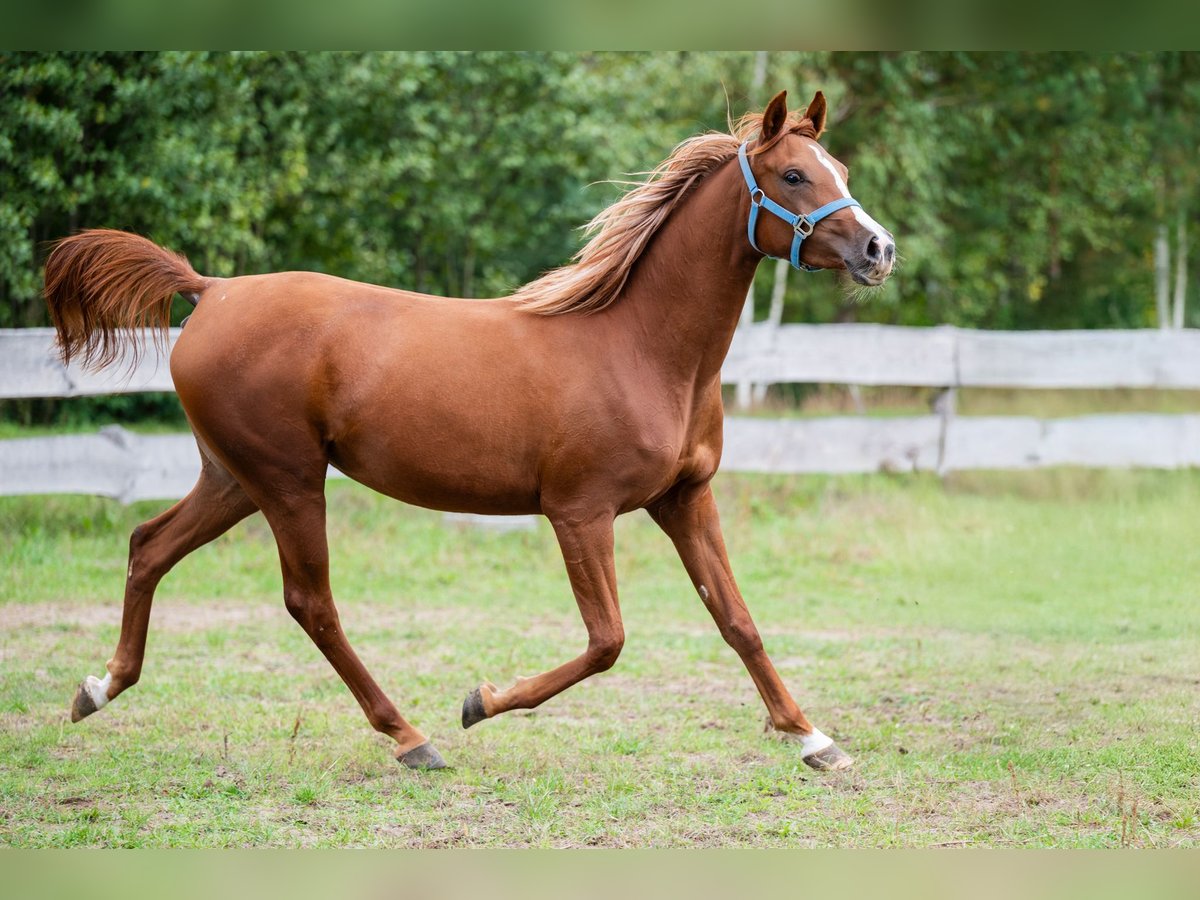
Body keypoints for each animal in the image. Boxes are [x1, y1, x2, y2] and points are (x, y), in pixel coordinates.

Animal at [44, 88, 892, 772]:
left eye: (841, 166)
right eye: (793, 175)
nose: (878, 249)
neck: (641, 347)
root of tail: (211, 291)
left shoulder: (684, 499)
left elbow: (737, 620)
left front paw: (814, 739)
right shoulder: (579, 513)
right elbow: (607, 640)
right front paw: (480, 701)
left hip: (234, 479)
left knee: (148, 546)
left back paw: (98, 688)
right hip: (287, 482)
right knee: (310, 603)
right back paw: (413, 738)